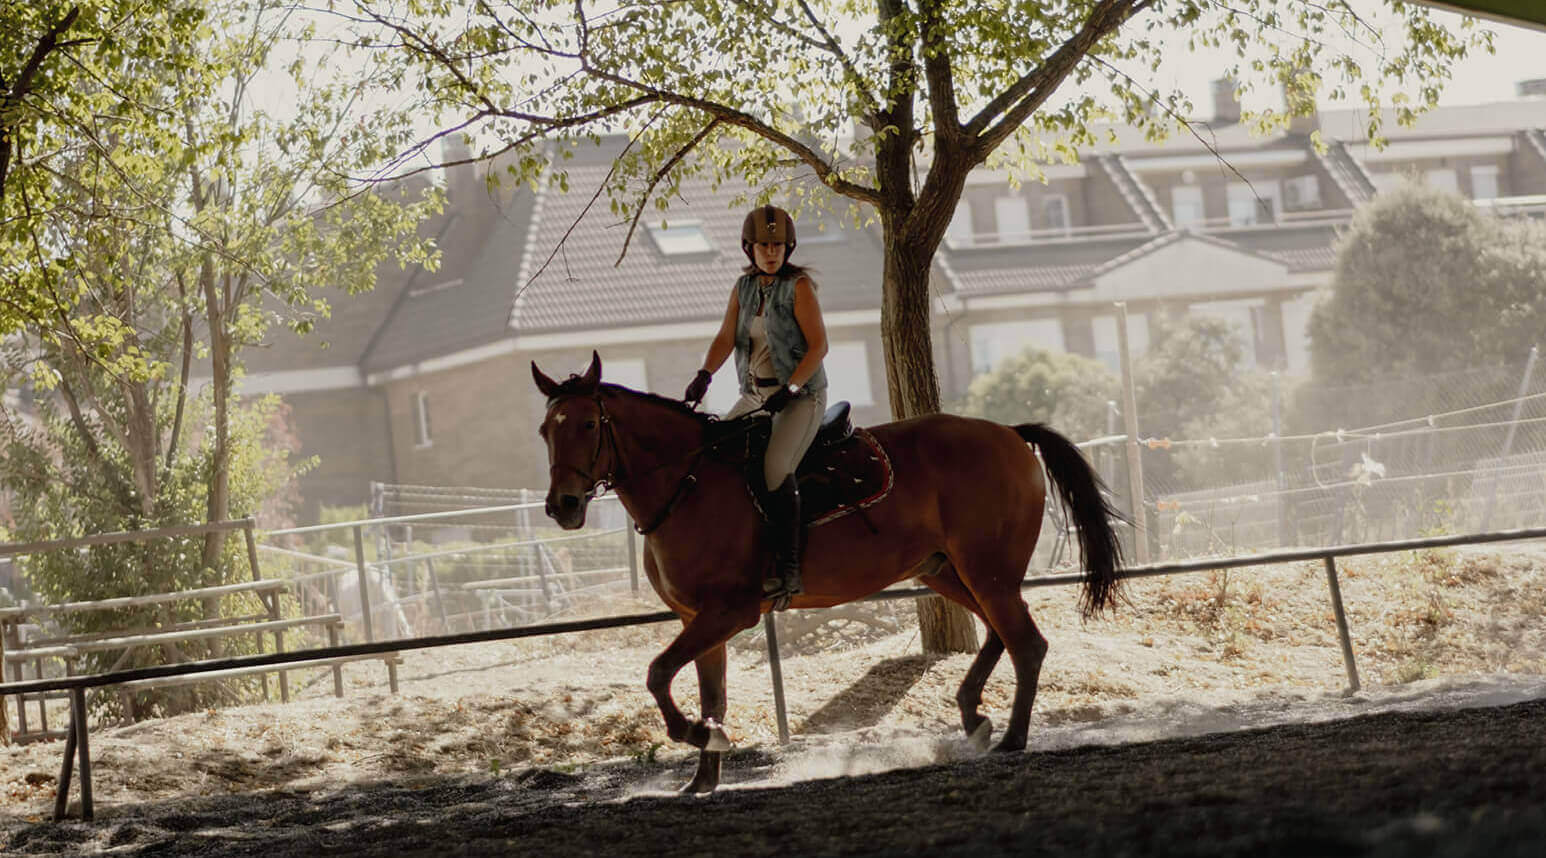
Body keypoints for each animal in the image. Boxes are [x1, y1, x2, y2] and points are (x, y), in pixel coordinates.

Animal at [532, 351, 1124, 793]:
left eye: (588, 423)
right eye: (545, 430)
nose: (562, 505)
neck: (689, 483)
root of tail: (1008, 433)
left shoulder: (728, 612)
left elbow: (658, 674)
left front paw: (700, 736)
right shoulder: (696, 619)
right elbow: (710, 694)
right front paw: (703, 776)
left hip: (987, 569)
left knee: (1025, 641)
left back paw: (1012, 739)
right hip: (947, 571)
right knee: (1003, 632)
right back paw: (974, 717)